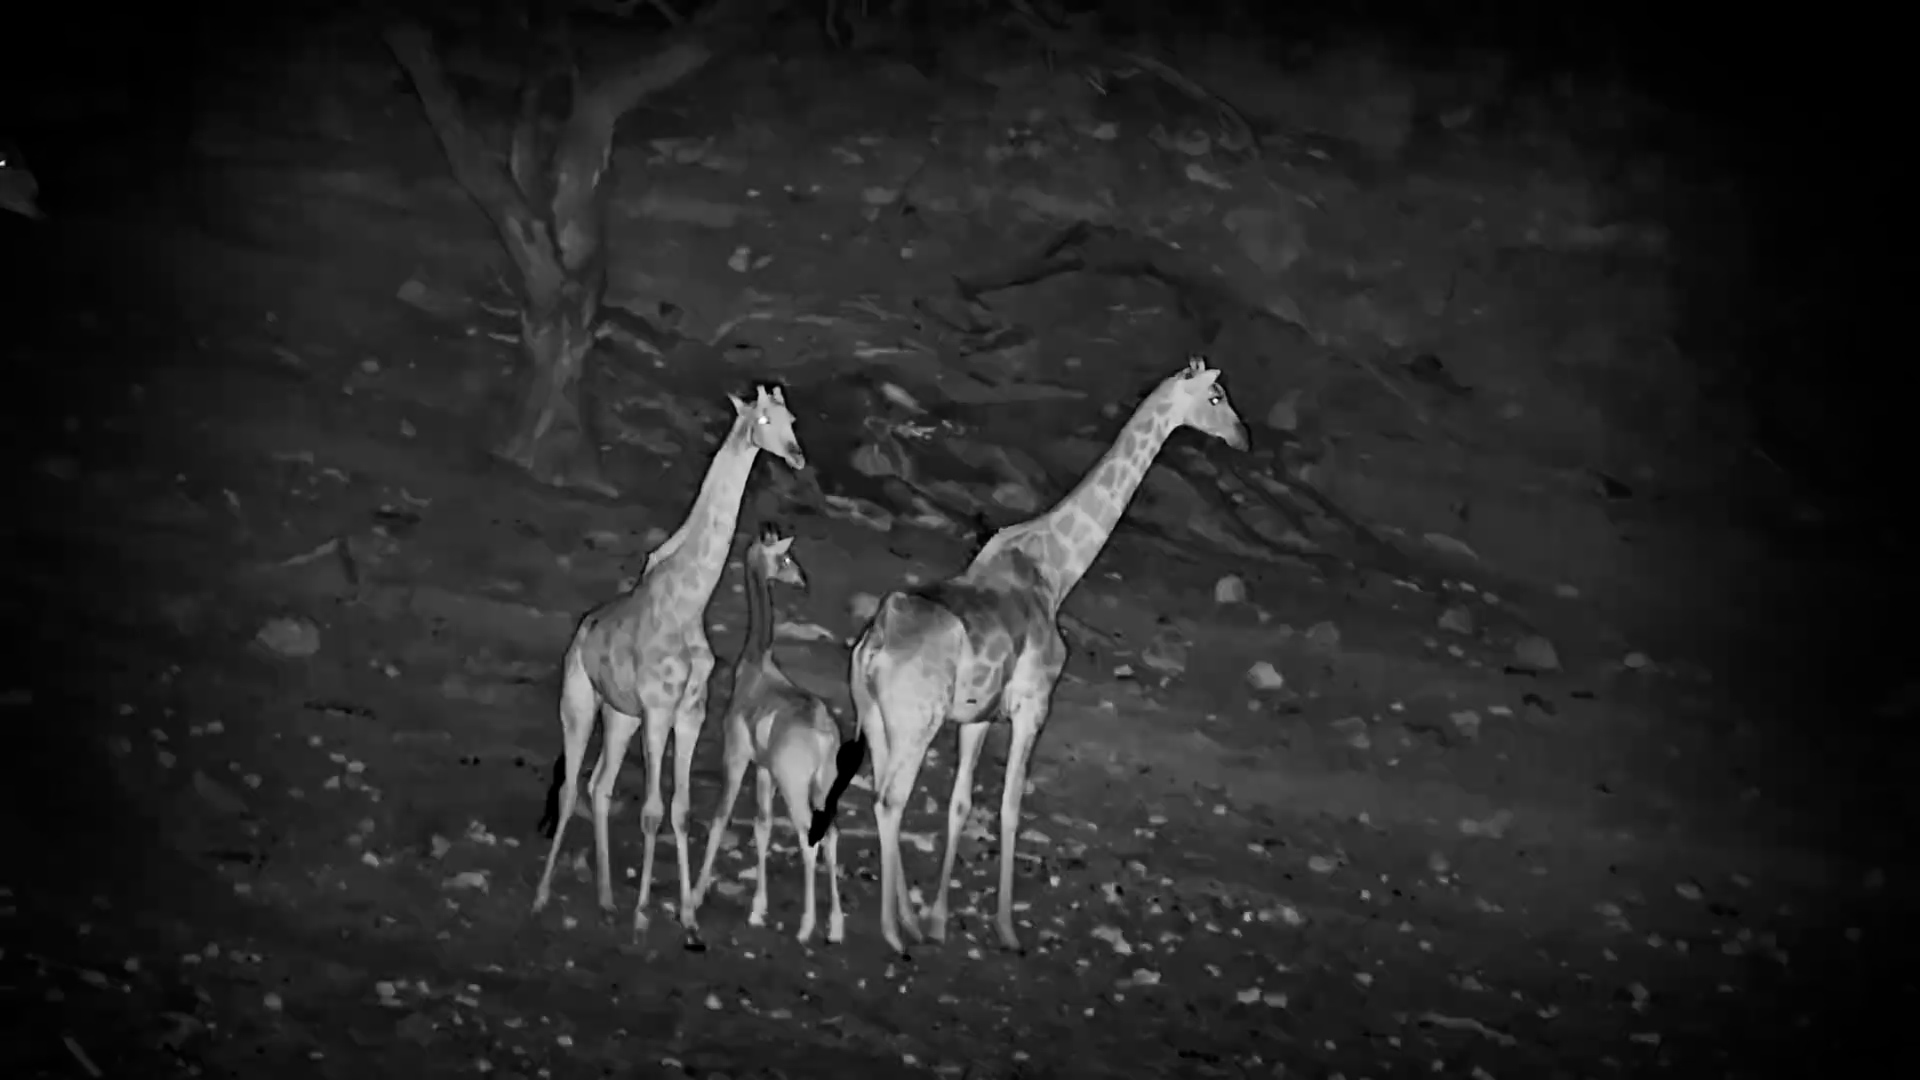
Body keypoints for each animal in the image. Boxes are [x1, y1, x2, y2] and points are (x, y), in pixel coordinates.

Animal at [532, 385, 807, 943]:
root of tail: (583, 630)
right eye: (763, 419)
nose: (796, 455)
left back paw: (607, 900)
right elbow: (653, 810)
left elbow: (679, 811)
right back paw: (544, 896)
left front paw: (687, 917)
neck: (689, 604)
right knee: (570, 789)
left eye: (791, 417)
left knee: (599, 786)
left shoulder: (690, 713)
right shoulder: (659, 711)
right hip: (580, 700)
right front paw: (644, 914)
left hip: (620, 715)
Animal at [686, 524, 864, 946]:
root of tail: (822, 733)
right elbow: (762, 826)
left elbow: (720, 818)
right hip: (822, 789)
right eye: (783, 557)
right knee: (831, 836)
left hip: (797, 791)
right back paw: (835, 927)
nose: (802, 580)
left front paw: (696, 897)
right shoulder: (764, 770)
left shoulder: (737, 758)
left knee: (809, 838)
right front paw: (757, 909)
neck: (756, 667)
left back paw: (806, 926)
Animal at [848, 355, 1249, 957]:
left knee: (880, 794)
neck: (1058, 569)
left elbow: (961, 804)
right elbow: (1012, 807)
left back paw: (904, 923)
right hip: (916, 721)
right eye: (1217, 397)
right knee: (891, 800)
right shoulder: (1034, 704)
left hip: (875, 719)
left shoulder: (979, 716)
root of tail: (873, 648)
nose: (1242, 437)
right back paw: (895, 932)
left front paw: (939, 920)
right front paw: (1008, 929)